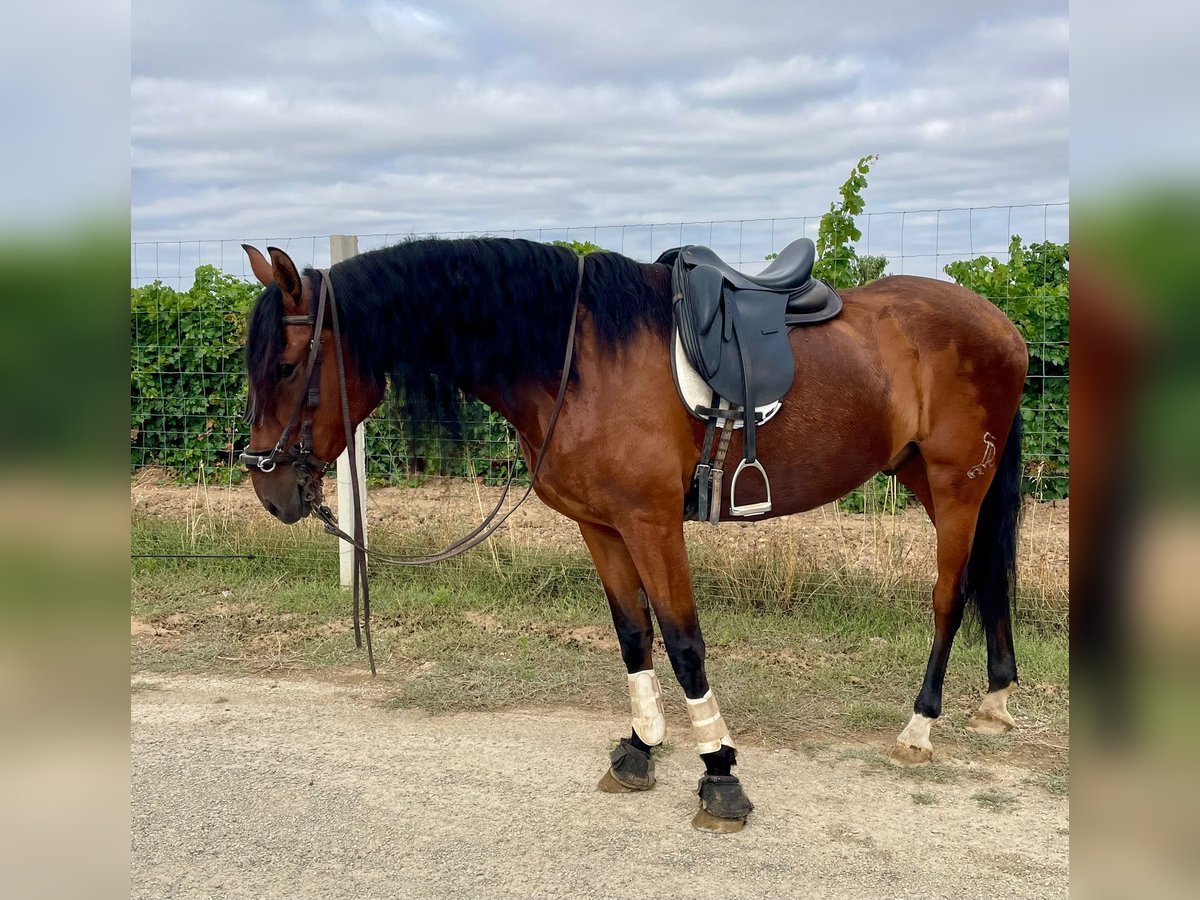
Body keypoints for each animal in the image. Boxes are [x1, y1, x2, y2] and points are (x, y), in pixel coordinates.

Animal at [238, 237, 1027, 830]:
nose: (269, 488)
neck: (575, 358)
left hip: (958, 484)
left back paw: (920, 727)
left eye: (287, 365)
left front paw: (720, 773)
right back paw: (995, 698)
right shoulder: (603, 526)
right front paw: (642, 748)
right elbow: (632, 633)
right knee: (986, 580)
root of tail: (1002, 325)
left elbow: (683, 641)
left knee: (950, 596)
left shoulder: (652, 523)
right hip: (925, 477)